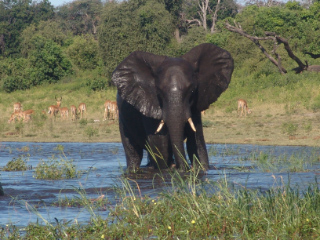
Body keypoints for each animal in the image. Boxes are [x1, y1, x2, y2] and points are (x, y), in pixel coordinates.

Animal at [111, 42, 234, 171]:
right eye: (159, 92)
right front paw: (170, 170)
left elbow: (196, 141)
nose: (183, 168)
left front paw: (200, 169)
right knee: (133, 154)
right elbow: (160, 143)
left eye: (192, 90)